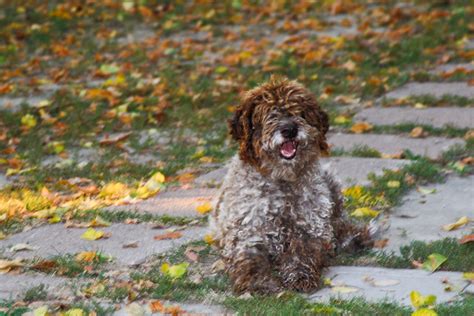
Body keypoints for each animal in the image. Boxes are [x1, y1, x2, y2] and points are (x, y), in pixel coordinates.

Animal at [210, 77, 370, 294]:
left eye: (299, 111)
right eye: (269, 114)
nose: (290, 130)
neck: (281, 182)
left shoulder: (311, 230)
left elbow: (301, 254)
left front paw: (300, 276)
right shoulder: (246, 237)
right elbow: (250, 262)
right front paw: (259, 282)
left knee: (340, 221)